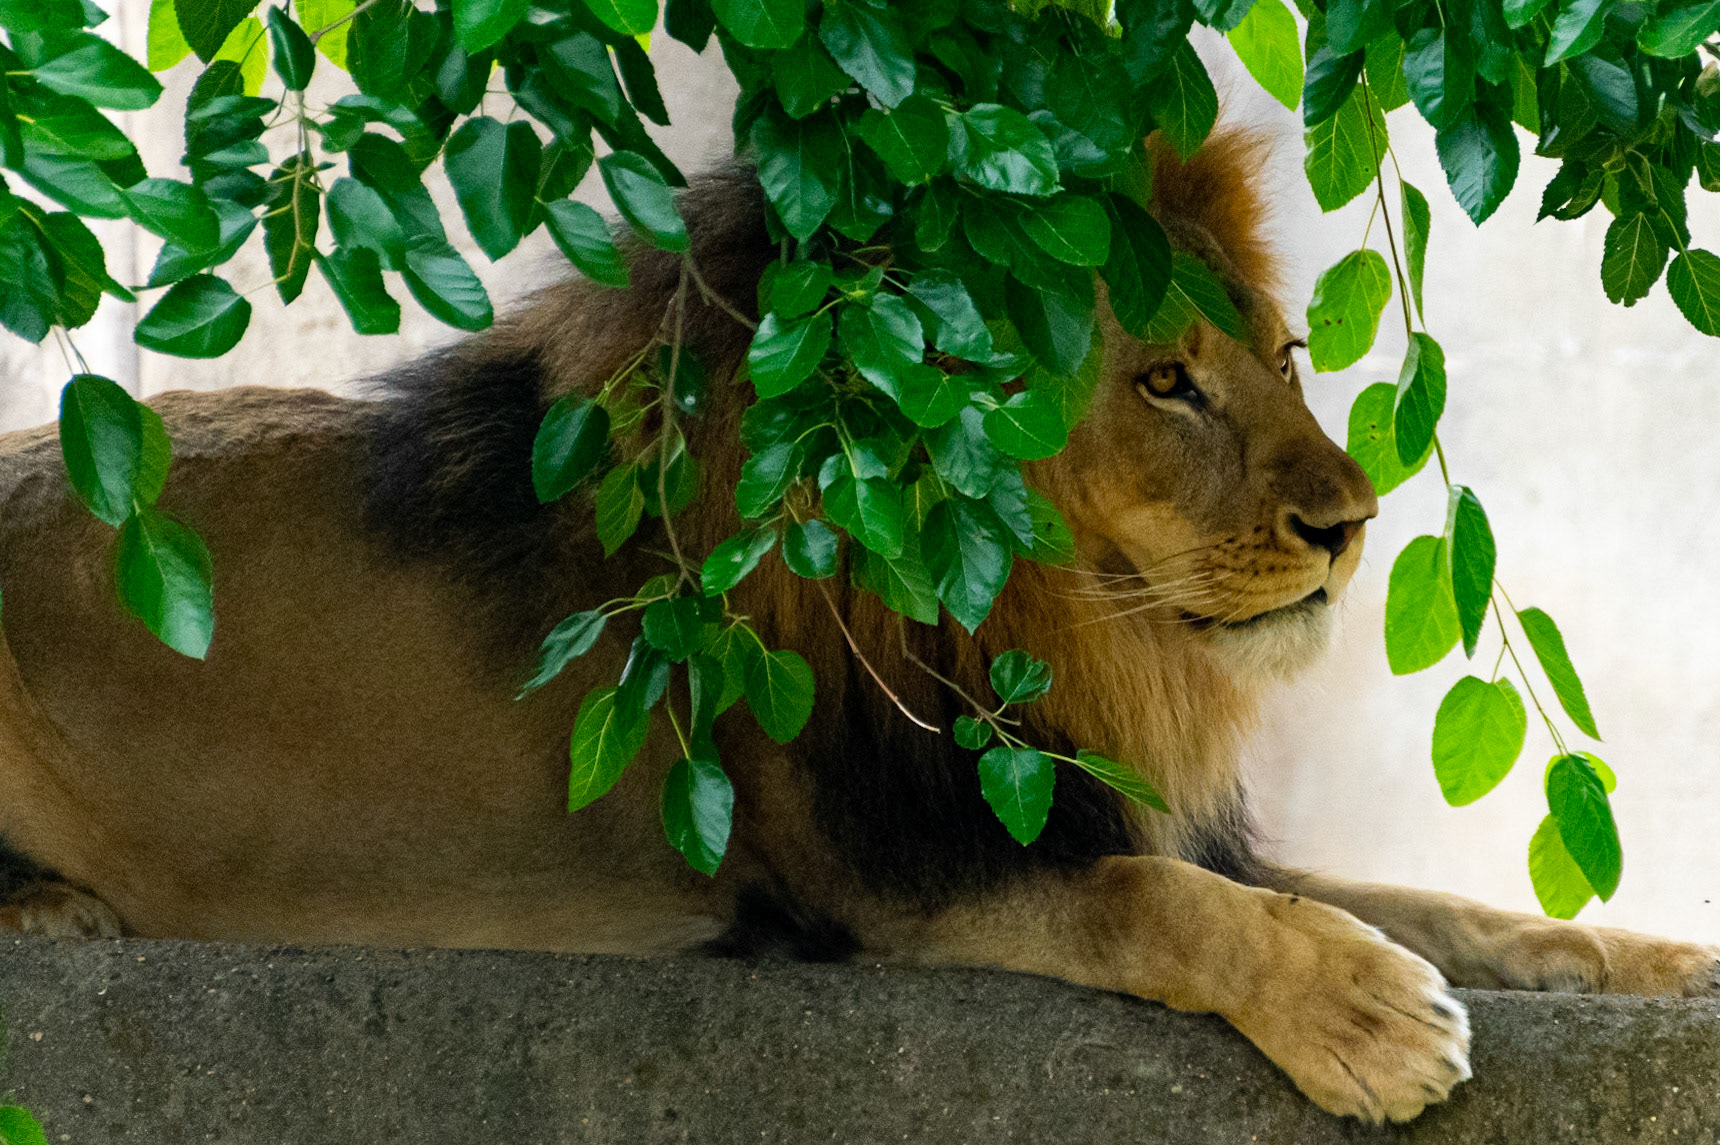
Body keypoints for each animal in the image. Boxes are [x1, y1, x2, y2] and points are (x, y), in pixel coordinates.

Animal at [0, 130, 1713, 1124]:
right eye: (1167, 382)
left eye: (1287, 357)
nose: (1350, 524)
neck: (1056, 621)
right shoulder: (880, 871)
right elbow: (1153, 906)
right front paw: (1365, 1017)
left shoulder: (1124, 803)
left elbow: (1453, 908)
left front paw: (1661, 961)